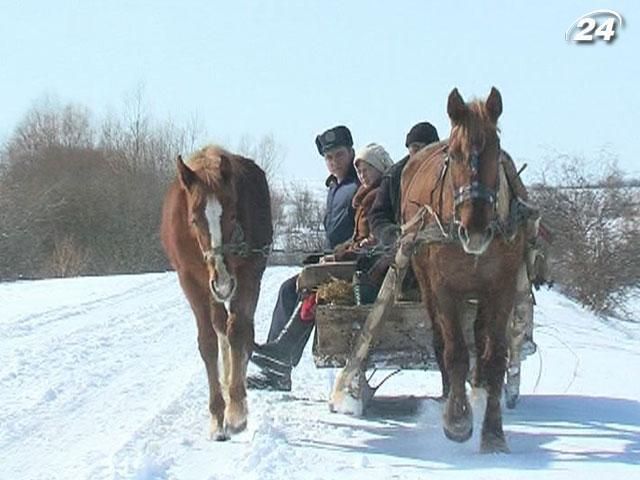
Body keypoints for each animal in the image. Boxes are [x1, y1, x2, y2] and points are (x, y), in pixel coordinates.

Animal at [160, 144, 272, 440]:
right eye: (193, 219)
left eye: (233, 215)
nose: (222, 280)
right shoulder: (191, 282)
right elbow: (208, 343)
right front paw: (217, 415)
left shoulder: (247, 275)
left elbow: (238, 333)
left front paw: (235, 411)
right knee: (221, 327)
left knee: (242, 331)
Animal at [402, 87, 528, 454]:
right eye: (455, 155)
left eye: (496, 149)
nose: (475, 230)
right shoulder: (445, 289)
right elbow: (456, 352)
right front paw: (457, 419)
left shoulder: (501, 289)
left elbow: (495, 355)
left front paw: (494, 433)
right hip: (427, 285)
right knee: (440, 341)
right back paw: (450, 395)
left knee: (481, 340)